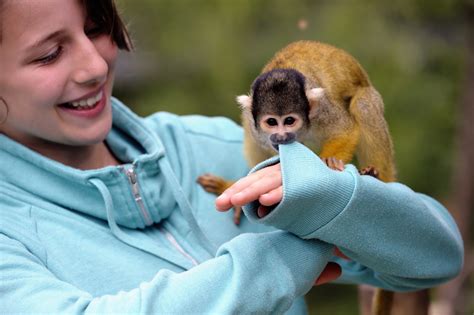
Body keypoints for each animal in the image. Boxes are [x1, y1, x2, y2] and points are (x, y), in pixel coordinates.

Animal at [198, 40, 398, 315]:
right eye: (272, 122)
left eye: (289, 120)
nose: (281, 136)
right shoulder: (257, 127)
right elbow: (256, 140)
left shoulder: (323, 112)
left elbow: (345, 129)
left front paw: (328, 163)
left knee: (363, 103)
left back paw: (378, 176)